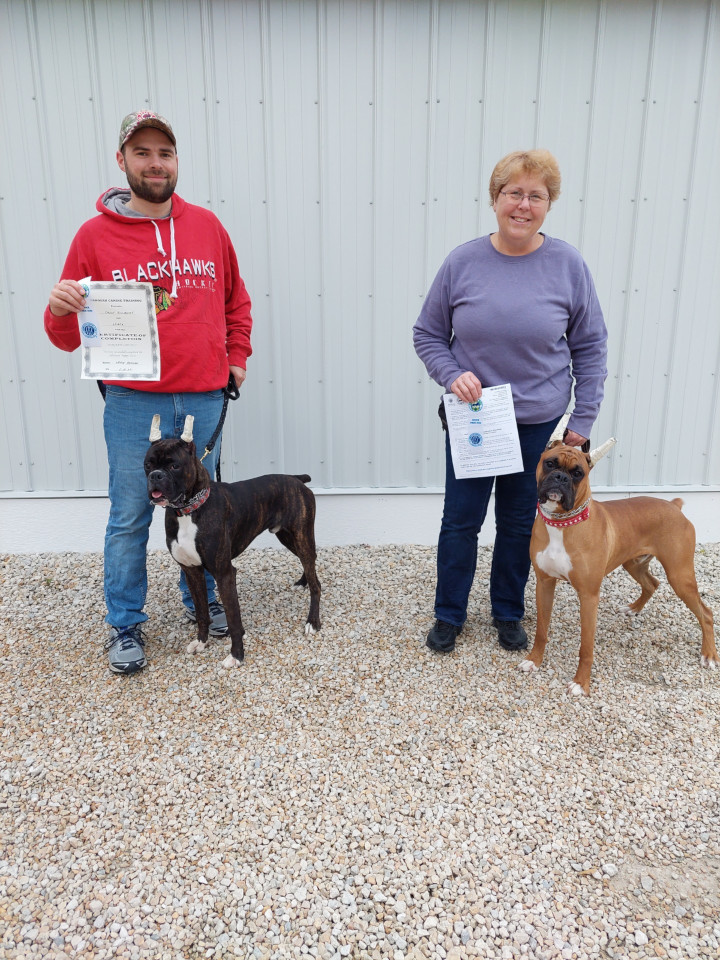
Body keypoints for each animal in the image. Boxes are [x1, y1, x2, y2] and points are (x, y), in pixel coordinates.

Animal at [143, 412, 320, 668]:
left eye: (174, 465)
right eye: (148, 464)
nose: (155, 476)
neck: (189, 510)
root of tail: (296, 479)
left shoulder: (225, 573)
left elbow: (234, 619)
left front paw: (236, 655)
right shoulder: (191, 571)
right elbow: (202, 612)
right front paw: (202, 642)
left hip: (301, 536)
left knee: (316, 581)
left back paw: (313, 621)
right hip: (289, 537)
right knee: (310, 564)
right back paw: (303, 581)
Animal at [520, 424, 716, 692]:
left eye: (578, 473)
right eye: (550, 463)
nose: (560, 478)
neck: (562, 523)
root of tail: (674, 505)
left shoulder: (589, 596)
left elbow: (586, 646)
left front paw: (581, 683)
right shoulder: (544, 584)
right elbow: (541, 630)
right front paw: (534, 660)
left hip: (680, 576)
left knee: (706, 613)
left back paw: (709, 655)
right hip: (633, 563)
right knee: (652, 583)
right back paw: (633, 609)